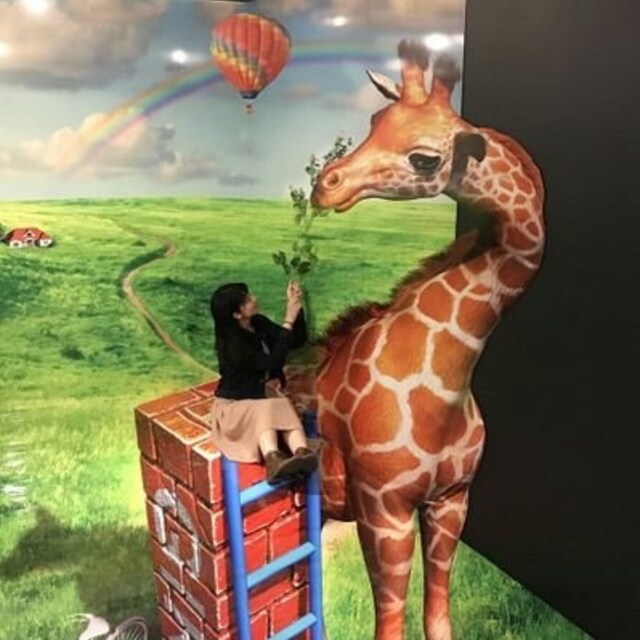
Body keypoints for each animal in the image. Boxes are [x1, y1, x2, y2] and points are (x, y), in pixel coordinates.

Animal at [309, 40, 545, 640]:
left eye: (423, 157)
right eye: (375, 120)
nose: (326, 185)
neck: (450, 385)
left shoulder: (451, 501)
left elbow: (438, 617)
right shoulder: (383, 509)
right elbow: (389, 625)